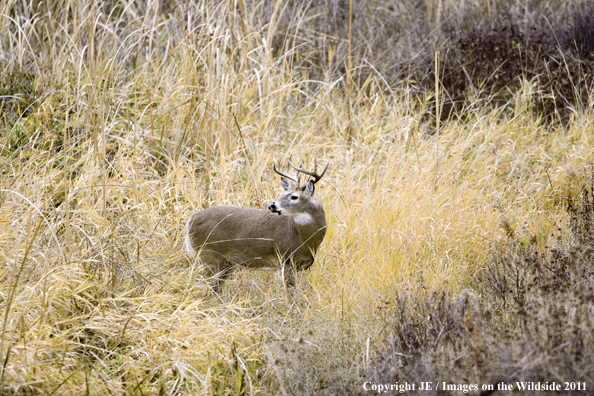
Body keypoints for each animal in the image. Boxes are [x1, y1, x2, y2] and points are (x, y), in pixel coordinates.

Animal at [183, 156, 326, 292]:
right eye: (284, 193)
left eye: (294, 197)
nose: (272, 205)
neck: (304, 240)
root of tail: (190, 220)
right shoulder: (286, 260)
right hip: (208, 255)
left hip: (226, 263)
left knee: (216, 288)